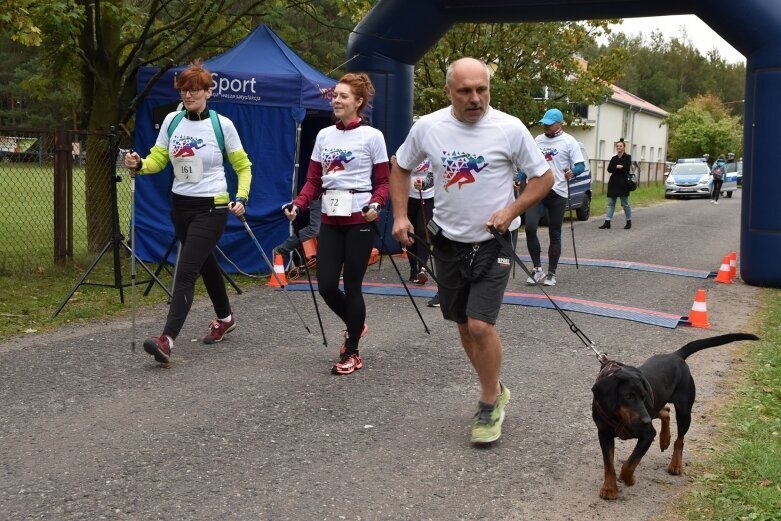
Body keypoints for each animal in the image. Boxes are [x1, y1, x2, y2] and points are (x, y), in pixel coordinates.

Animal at [592, 332, 756, 498]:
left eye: (644, 396)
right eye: (628, 396)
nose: (645, 421)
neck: (618, 415)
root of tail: (676, 355)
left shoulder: (647, 434)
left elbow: (630, 464)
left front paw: (629, 479)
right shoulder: (604, 434)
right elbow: (609, 464)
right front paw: (609, 488)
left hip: (683, 411)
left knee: (679, 440)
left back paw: (675, 463)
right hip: (657, 406)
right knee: (665, 411)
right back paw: (665, 439)